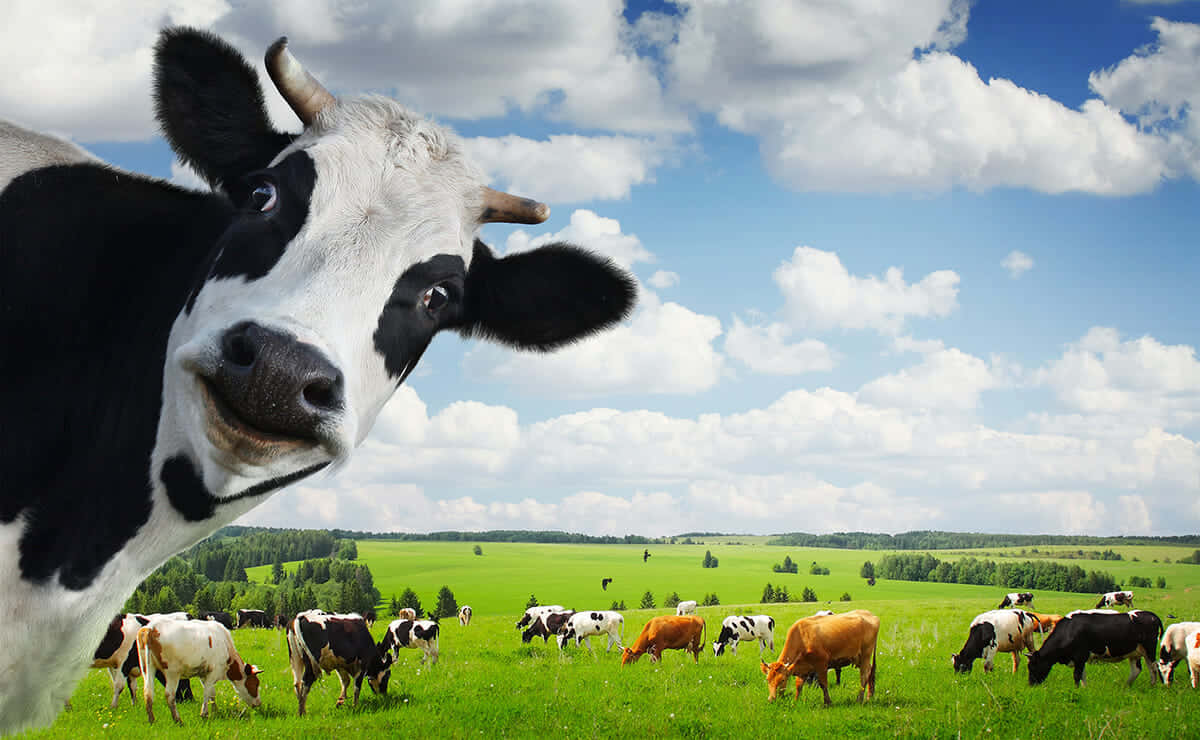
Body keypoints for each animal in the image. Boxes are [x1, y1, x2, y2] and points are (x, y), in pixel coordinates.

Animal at [1026, 609, 1163, 687]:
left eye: (1033, 666)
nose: (1031, 684)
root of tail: (1152, 615)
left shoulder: (1080, 656)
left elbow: (1077, 675)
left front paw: (1076, 689)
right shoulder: (1080, 659)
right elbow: (1083, 675)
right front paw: (1084, 689)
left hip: (1149, 649)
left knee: (1154, 667)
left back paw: (1153, 686)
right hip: (1135, 652)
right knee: (1137, 670)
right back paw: (1126, 686)